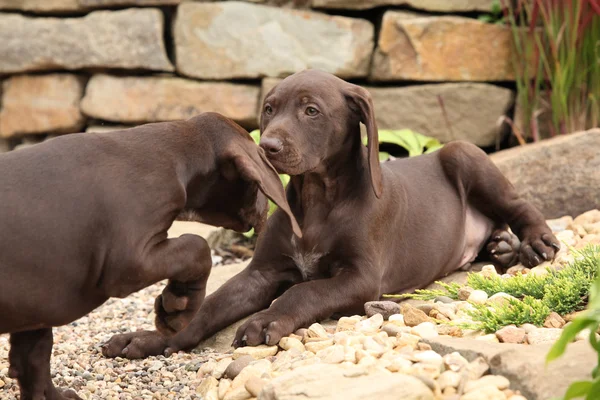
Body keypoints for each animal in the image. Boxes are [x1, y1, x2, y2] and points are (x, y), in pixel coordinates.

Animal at [0, 113, 300, 400]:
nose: (266, 210)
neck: (174, 154)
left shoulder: (37, 305)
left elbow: (35, 359)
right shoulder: (129, 261)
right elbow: (197, 246)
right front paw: (178, 306)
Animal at [105, 71, 560, 360]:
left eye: (311, 111)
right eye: (269, 109)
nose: (267, 147)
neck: (317, 200)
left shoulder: (361, 277)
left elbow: (304, 292)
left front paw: (267, 320)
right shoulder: (261, 273)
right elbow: (211, 305)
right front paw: (151, 339)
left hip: (463, 153)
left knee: (517, 205)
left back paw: (533, 243)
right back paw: (501, 247)